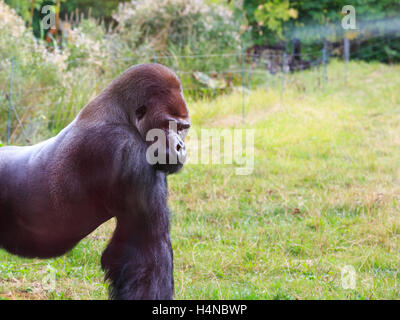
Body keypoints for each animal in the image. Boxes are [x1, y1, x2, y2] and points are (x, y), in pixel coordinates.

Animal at [0, 63, 191, 298]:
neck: (123, 114)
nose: (180, 146)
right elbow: (146, 255)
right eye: (169, 125)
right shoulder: (131, 151)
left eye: (182, 128)